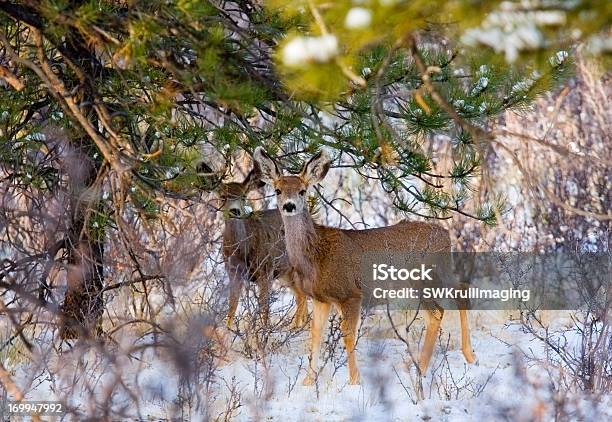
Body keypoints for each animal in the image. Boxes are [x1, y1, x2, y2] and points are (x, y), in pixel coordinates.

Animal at [198, 162, 308, 330]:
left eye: (243, 196)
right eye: (223, 196)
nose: (235, 211)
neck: (242, 251)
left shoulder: (266, 270)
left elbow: (264, 309)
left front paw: (262, 333)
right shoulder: (233, 272)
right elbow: (232, 307)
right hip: (286, 273)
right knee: (302, 296)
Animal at [253, 148, 478, 386]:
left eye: (302, 191)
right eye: (277, 190)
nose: (289, 206)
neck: (316, 255)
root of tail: (446, 235)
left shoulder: (351, 293)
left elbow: (347, 334)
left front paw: (354, 380)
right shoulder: (321, 298)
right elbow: (316, 333)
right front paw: (307, 382)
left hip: (423, 278)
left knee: (438, 311)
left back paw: (427, 367)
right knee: (456, 294)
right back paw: (450, 359)